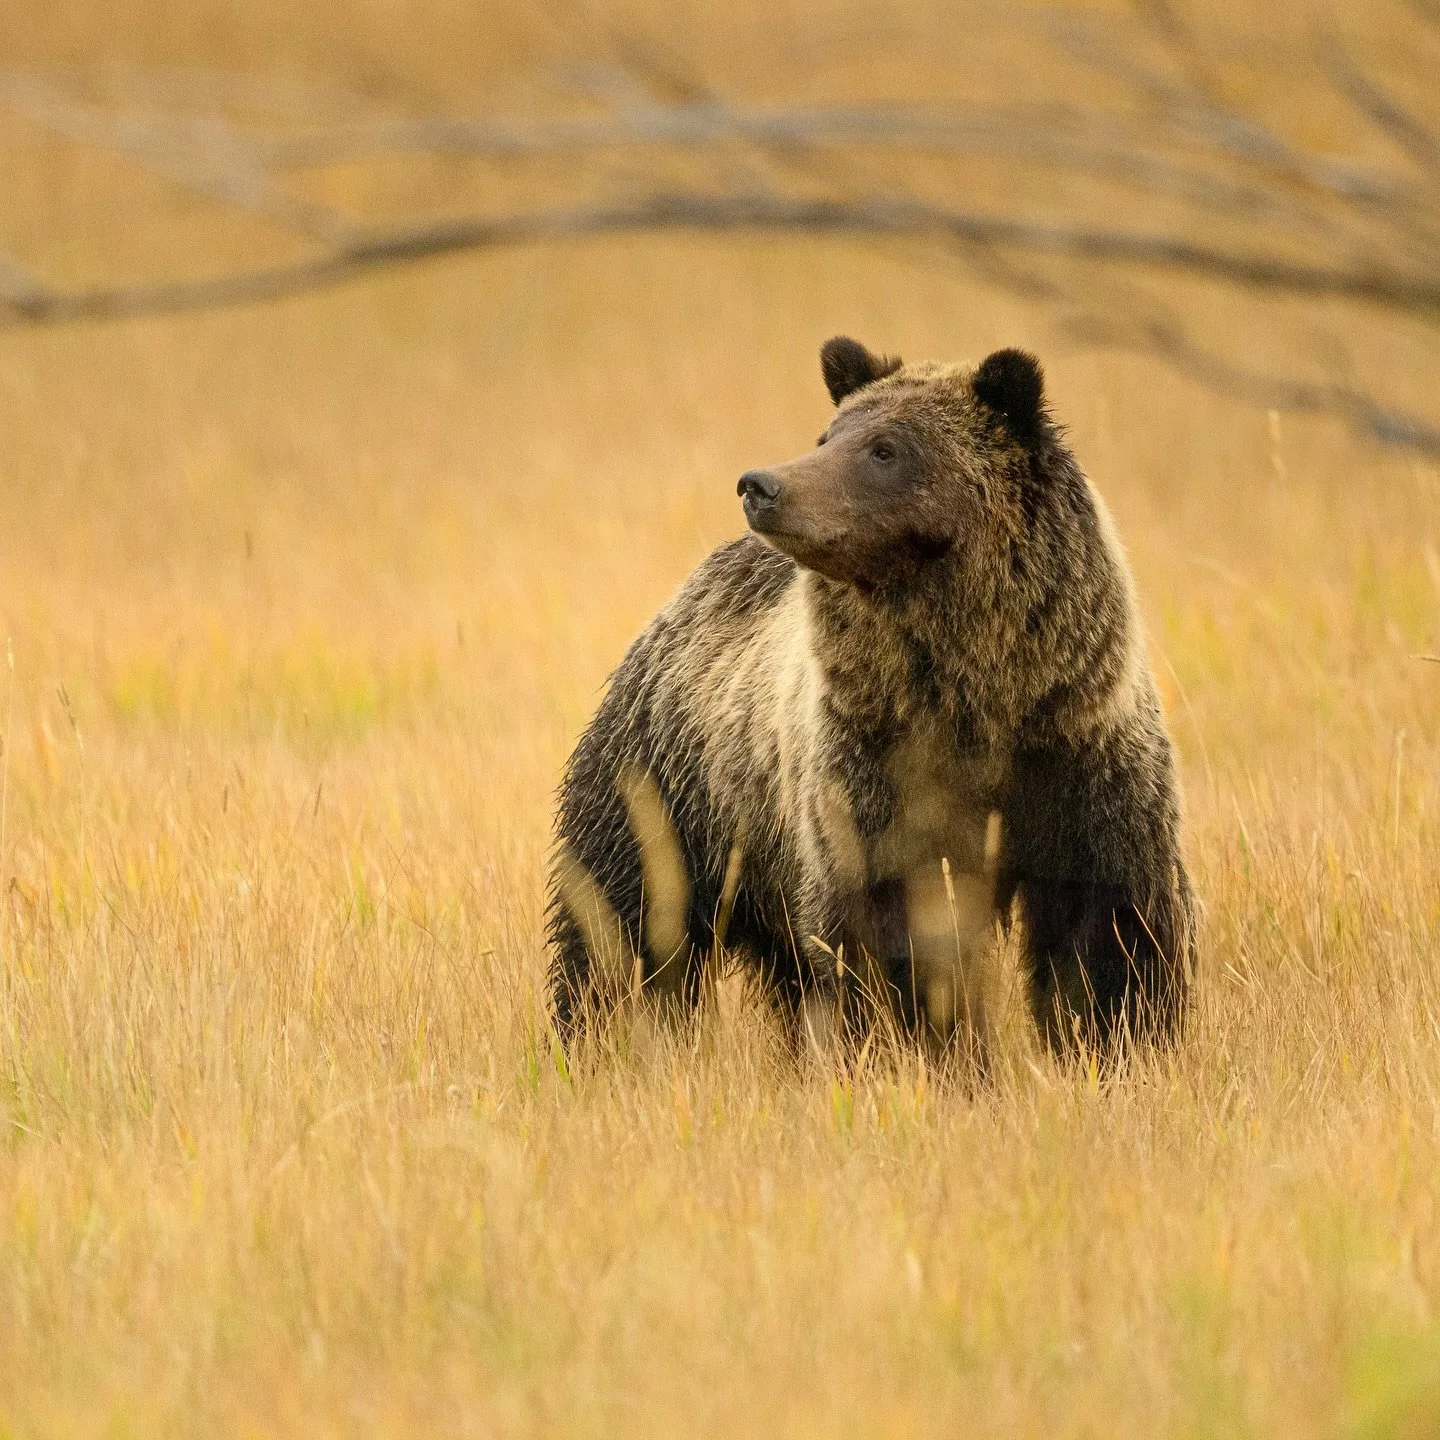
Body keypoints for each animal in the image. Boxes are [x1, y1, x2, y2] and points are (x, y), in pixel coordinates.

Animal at [547, 337, 1193, 1058]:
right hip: (671, 787)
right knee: (624, 920)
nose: (762, 485)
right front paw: (922, 1040)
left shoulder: (1079, 755)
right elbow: (887, 931)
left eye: (885, 448)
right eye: (828, 435)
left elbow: (1108, 930)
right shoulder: (872, 778)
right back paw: (597, 1034)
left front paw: (1121, 1038)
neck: (977, 696)